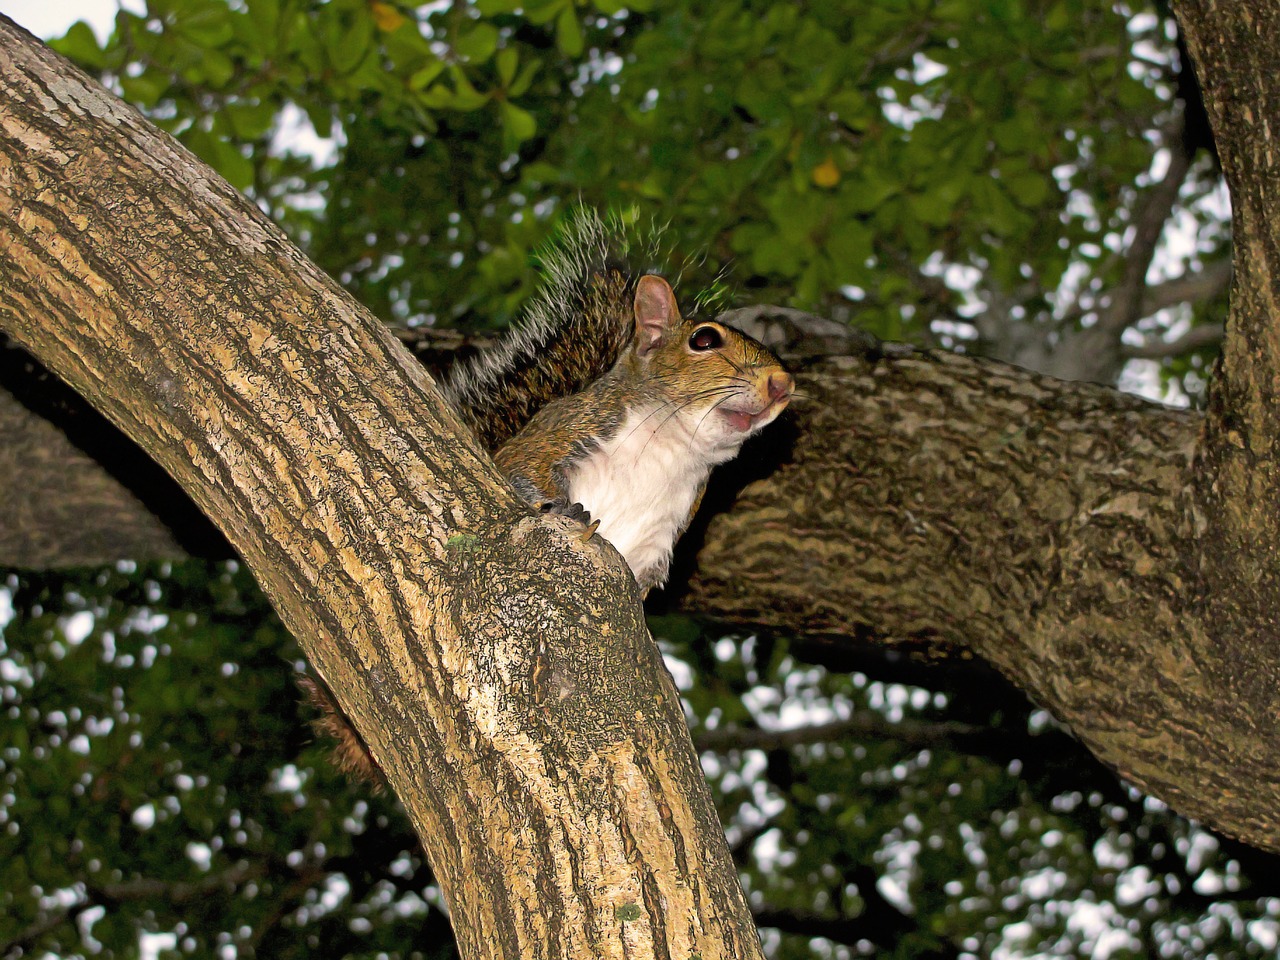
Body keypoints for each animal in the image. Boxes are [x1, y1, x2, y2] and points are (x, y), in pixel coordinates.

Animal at [305, 209, 793, 788]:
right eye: (703, 340)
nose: (783, 384)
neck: (673, 449)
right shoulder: (556, 435)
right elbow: (521, 473)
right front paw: (565, 508)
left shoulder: (665, 533)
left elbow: (645, 587)